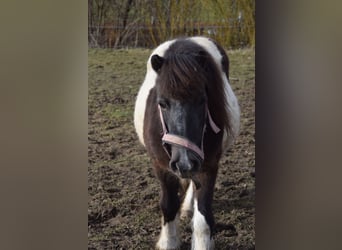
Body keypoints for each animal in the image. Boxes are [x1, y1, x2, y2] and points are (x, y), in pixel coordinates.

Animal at [134, 36, 240, 249]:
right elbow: (168, 206)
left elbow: (203, 219)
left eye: (202, 100)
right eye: (162, 103)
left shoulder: (208, 166)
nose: (184, 162)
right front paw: (168, 242)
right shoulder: (161, 166)